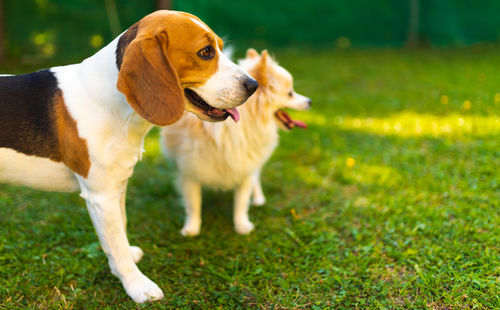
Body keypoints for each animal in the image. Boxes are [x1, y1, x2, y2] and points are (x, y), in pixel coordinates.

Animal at [0, 10, 258, 302]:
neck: (110, 103)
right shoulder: (101, 196)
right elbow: (117, 245)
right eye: (206, 52)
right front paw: (137, 285)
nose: (254, 85)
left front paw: (123, 258)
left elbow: (119, 233)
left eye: (221, 48)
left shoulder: (117, 185)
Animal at [161, 49, 308, 235]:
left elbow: (241, 202)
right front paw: (192, 228)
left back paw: (258, 199)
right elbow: (193, 203)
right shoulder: (189, 170)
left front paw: (242, 226)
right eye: (290, 93)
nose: (310, 101)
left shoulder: (245, 167)